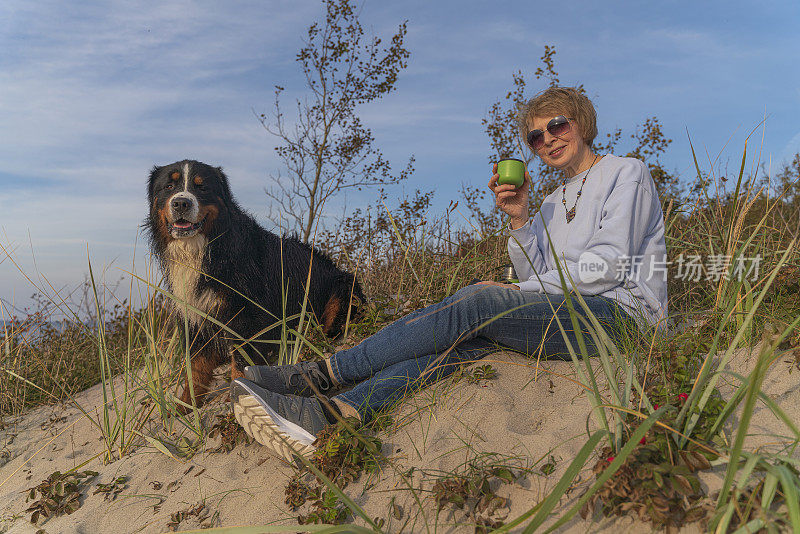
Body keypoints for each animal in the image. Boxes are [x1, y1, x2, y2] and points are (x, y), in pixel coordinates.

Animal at [145, 159, 364, 410]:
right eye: (169, 187)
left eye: (202, 187)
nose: (181, 202)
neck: (203, 249)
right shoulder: (194, 314)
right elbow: (196, 368)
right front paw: (186, 406)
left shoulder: (245, 316)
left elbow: (241, 361)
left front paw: (238, 395)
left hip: (343, 289)